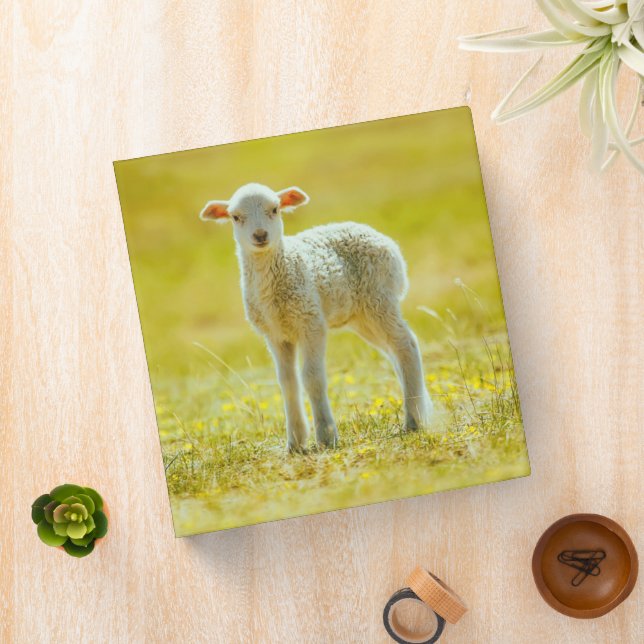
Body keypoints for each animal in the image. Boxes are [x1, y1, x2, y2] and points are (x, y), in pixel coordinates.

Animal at [200, 183, 432, 451]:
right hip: (362, 316)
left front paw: (326, 436)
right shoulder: (275, 334)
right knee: (394, 352)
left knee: (407, 344)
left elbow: (311, 378)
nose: (260, 235)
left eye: (275, 209)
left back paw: (413, 420)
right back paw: (420, 408)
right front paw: (295, 442)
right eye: (236, 217)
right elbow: (287, 382)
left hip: (379, 299)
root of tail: (383, 239)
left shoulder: (311, 322)